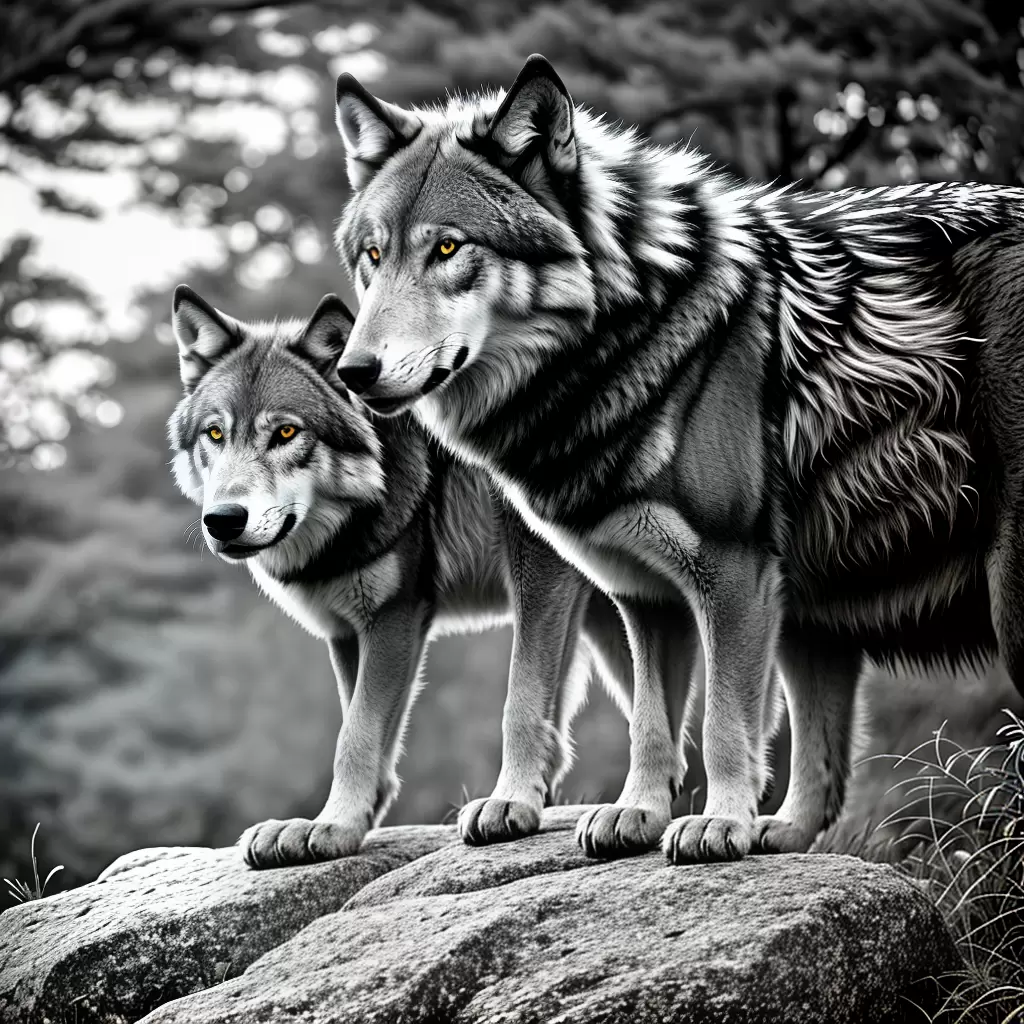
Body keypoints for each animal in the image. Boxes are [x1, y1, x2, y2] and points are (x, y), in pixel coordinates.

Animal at [167, 285, 726, 867]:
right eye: (214, 433)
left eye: (286, 432)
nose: (224, 520)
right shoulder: (350, 630)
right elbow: (362, 730)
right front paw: (339, 823)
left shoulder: (421, 608)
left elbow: (479, 708)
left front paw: (506, 803)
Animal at [330, 53, 1024, 865]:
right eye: (374, 255)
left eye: (447, 248)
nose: (354, 371)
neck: (631, 333)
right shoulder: (644, 594)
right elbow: (652, 725)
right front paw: (638, 813)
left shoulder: (733, 572)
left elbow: (723, 723)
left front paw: (717, 824)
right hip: (813, 618)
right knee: (823, 775)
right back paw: (777, 833)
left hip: (991, 602)